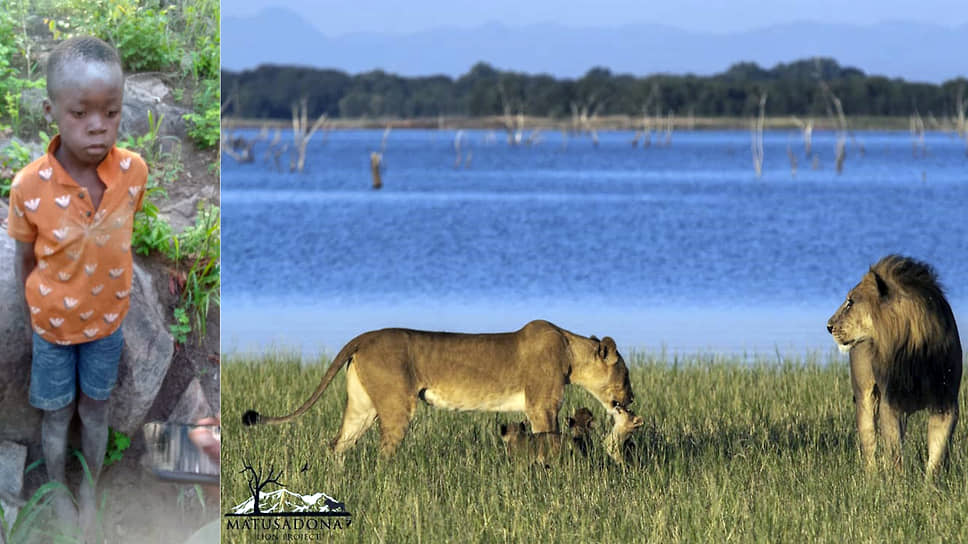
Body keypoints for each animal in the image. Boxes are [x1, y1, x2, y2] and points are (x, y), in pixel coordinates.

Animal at [242, 320, 636, 456]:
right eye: (626, 375)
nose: (631, 399)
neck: (570, 350)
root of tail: (365, 336)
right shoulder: (542, 406)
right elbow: (550, 442)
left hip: (362, 406)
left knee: (338, 443)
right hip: (397, 404)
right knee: (384, 452)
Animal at [828, 255, 964, 476]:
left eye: (850, 302)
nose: (828, 326)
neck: (913, 348)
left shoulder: (945, 402)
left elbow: (938, 454)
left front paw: (930, 484)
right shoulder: (891, 401)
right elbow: (894, 453)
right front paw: (897, 483)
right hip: (864, 395)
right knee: (869, 443)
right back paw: (872, 477)